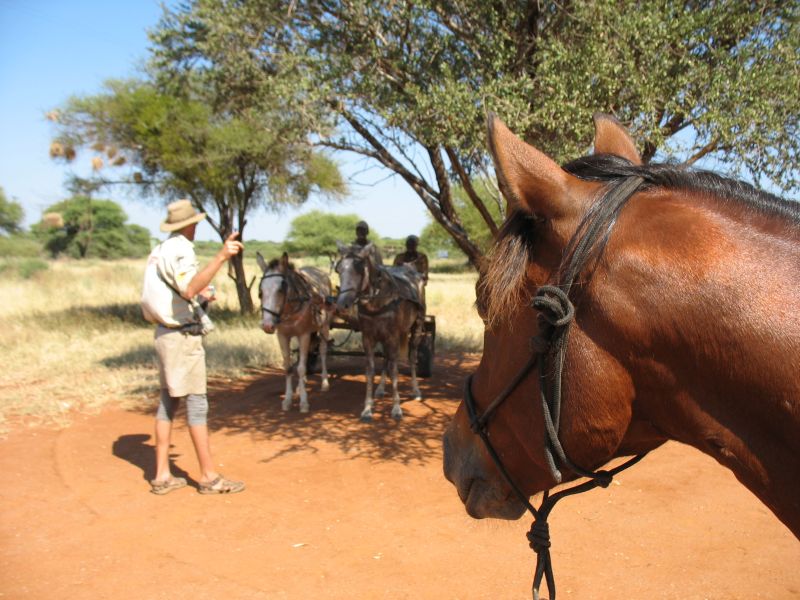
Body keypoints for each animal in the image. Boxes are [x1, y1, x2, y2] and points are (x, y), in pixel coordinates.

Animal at [256, 250, 332, 412]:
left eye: (281, 289)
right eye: (260, 292)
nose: (267, 325)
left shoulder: (304, 334)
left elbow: (301, 368)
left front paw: (303, 402)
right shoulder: (282, 335)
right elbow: (288, 367)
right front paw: (288, 400)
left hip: (324, 326)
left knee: (322, 351)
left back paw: (324, 382)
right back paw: (301, 385)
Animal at [336, 241, 428, 420]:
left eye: (359, 269)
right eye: (339, 269)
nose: (342, 305)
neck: (377, 301)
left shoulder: (393, 336)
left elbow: (394, 370)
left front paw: (396, 408)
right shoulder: (368, 337)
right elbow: (370, 370)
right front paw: (367, 408)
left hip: (417, 326)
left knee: (412, 356)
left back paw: (416, 390)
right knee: (386, 358)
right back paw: (380, 389)